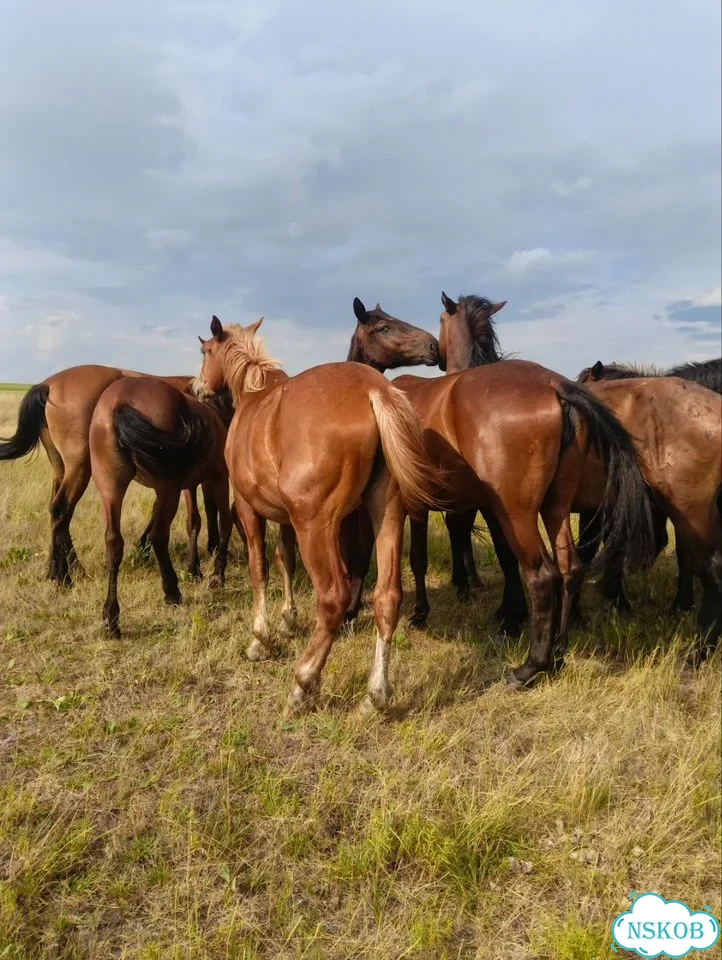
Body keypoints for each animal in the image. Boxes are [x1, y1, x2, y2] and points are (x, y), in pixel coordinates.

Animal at [0, 365, 228, 585]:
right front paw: (206, 554)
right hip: (80, 466)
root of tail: (48, 385)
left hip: (60, 467)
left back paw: (58, 570)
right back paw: (64, 575)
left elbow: (159, 510)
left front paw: (142, 550)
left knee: (56, 511)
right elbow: (205, 511)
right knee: (61, 509)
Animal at [89, 377, 233, 637]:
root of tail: (120, 402)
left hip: (110, 486)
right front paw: (217, 574)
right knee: (159, 536)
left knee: (113, 542)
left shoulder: (189, 485)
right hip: (168, 489)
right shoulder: (218, 478)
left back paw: (111, 616)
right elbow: (223, 522)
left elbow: (193, 522)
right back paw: (171, 591)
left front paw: (194, 568)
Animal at [191, 315, 444, 716]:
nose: (197, 386)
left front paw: (261, 639)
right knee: (387, 597)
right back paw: (375, 695)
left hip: (316, 526)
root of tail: (375, 391)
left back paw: (303, 683)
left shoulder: (249, 509)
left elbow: (259, 568)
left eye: (205, 351)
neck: (255, 393)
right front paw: (287, 620)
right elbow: (285, 560)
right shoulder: (284, 518)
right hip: (387, 514)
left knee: (333, 598)